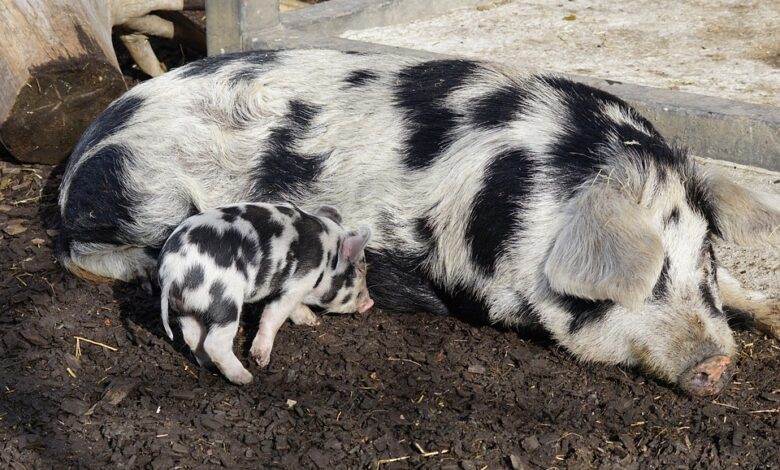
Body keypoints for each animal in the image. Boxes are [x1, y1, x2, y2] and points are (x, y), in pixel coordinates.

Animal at [158, 200, 372, 384]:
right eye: (360, 270)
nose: (370, 304)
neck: (327, 256)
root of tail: (172, 269)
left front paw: (313, 321)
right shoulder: (298, 282)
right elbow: (274, 315)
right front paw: (260, 359)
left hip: (183, 306)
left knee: (192, 336)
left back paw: (208, 365)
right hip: (224, 301)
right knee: (215, 343)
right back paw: (246, 378)